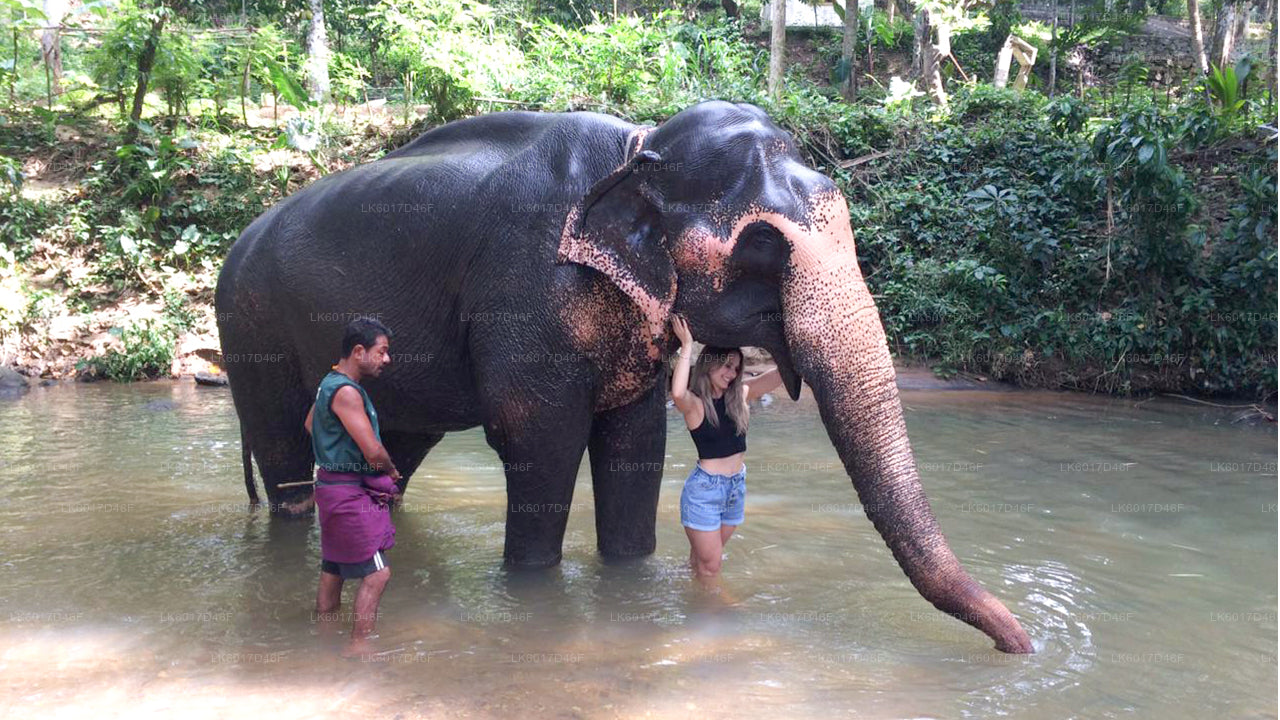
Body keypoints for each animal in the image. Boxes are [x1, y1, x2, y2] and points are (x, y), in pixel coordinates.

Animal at [215, 99, 1034, 650]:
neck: (641, 144)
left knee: (402, 448)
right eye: (763, 245)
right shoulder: (526, 290)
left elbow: (637, 442)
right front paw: (534, 591)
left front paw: (631, 577)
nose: (1020, 644)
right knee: (288, 455)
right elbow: (539, 440)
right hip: (250, 325)